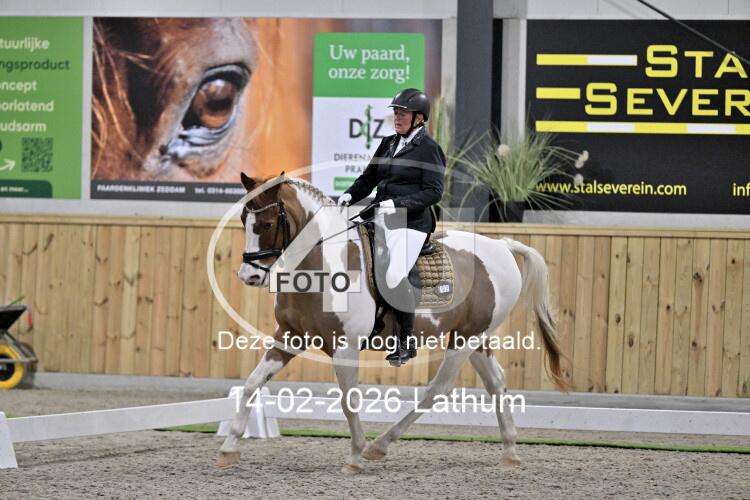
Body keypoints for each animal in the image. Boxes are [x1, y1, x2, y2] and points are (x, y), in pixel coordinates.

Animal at [217, 172, 567, 472]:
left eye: (266, 223)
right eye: (243, 220)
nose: (249, 277)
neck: (323, 264)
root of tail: (502, 246)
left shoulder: (345, 347)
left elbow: (349, 401)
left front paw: (355, 456)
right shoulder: (290, 336)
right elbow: (252, 383)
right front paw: (229, 448)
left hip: (465, 340)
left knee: (438, 389)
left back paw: (379, 446)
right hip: (474, 337)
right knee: (496, 382)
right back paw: (509, 452)